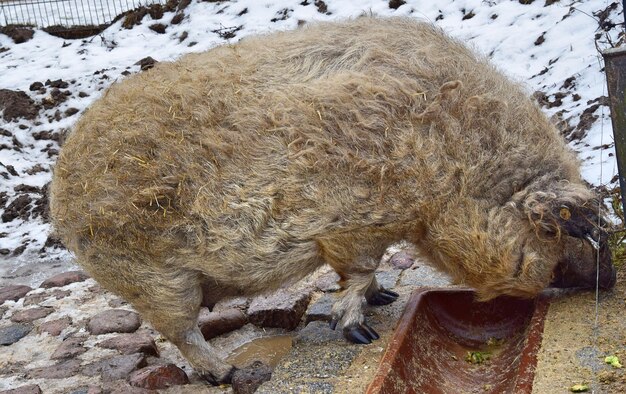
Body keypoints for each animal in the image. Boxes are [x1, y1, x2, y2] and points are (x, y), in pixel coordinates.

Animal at [50, 16, 616, 384]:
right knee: (182, 333)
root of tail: (60, 191)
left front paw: (385, 300)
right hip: (154, 277)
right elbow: (359, 271)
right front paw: (361, 333)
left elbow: (368, 274)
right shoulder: (354, 223)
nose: (607, 277)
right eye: (556, 226)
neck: (451, 164)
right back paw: (233, 372)